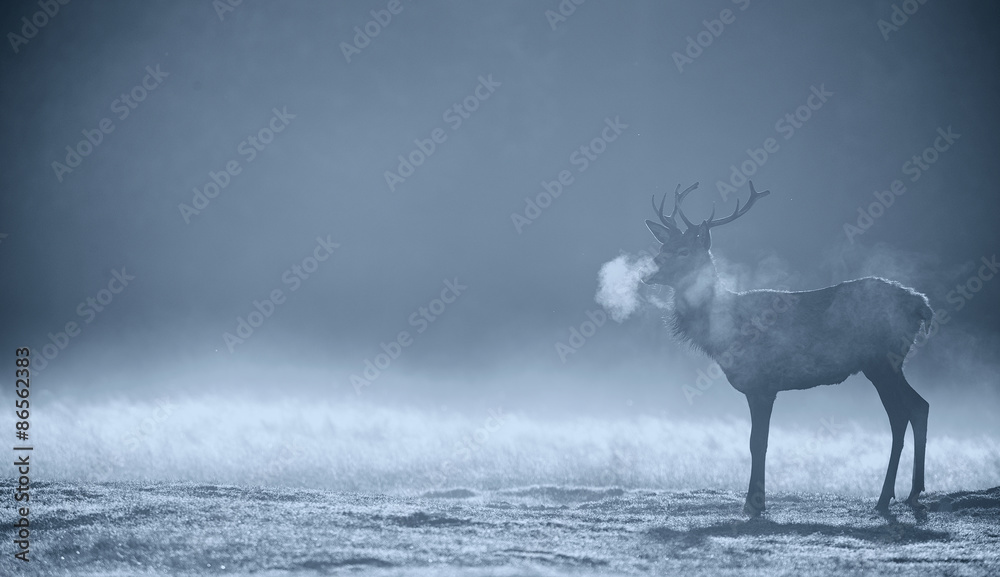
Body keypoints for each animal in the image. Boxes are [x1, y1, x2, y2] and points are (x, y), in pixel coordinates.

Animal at [641, 181, 933, 516]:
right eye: (662, 249)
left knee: (900, 416)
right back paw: (913, 492)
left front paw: (753, 504)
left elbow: (758, 442)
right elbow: (758, 441)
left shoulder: (762, 383)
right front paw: (756, 502)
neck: (726, 331)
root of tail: (922, 304)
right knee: (920, 406)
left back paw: (885, 498)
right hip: (893, 364)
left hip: (881, 361)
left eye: (684, 251)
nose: (648, 274)